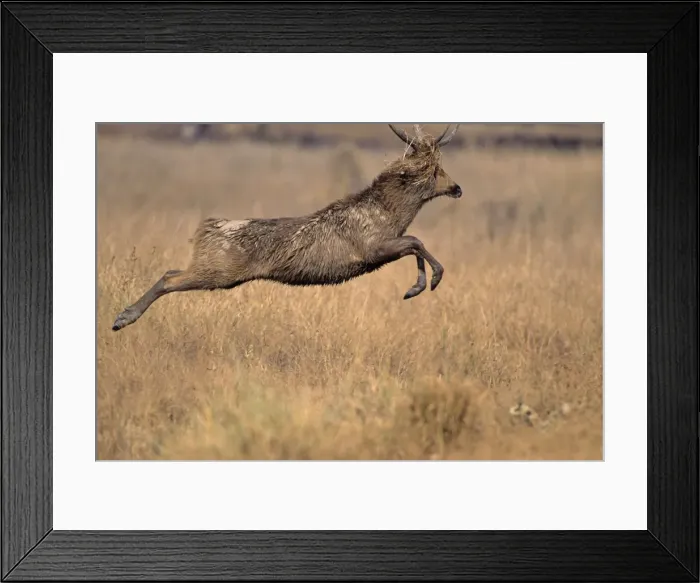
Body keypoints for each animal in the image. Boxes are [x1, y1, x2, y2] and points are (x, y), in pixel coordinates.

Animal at [112, 123, 462, 332]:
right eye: (433, 170)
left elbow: (415, 244)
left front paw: (417, 286)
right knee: (170, 277)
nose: (457, 187)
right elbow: (416, 240)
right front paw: (428, 282)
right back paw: (122, 318)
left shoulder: (384, 248)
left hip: (217, 272)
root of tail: (206, 230)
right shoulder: (372, 248)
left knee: (171, 271)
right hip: (218, 271)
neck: (391, 214)